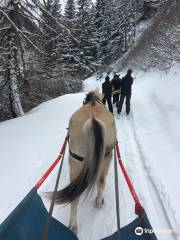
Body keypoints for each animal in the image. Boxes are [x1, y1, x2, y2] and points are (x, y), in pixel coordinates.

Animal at [52, 90, 116, 234]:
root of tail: (93, 120)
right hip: (105, 158)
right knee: (99, 183)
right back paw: (97, 203)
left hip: (77, 162)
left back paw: (73, 225)